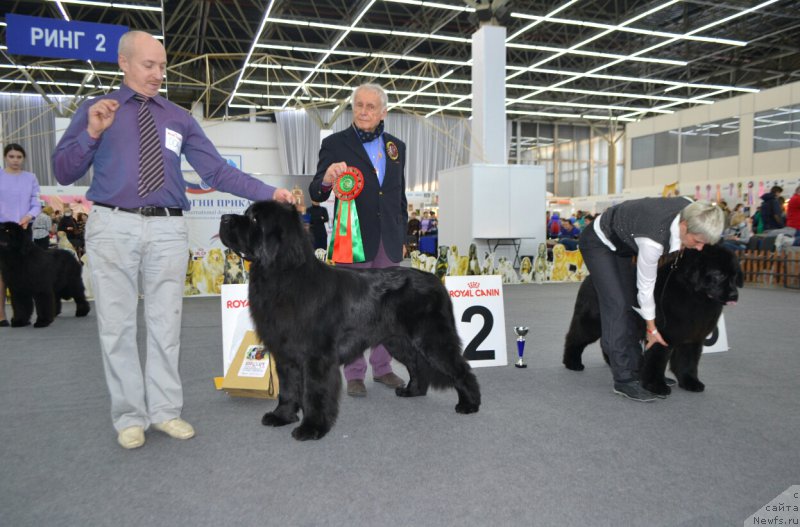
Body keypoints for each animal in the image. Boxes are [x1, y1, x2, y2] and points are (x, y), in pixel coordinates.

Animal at [219, 200, 478, 440]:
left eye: (254, 219)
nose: (223, 218)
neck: (283, 275)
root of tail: (437, 282)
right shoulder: (285, 353)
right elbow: (288, 388)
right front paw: (281, 416)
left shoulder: (316, 356)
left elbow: (314, 392)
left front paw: (311, 428)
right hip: (398, 340)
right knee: (417, 365)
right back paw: (412, 391)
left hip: (431, 338)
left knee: (460, 368)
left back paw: (470, 403)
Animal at [564, 245, 744, 398]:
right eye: (719, 274)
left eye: (735, 275)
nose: (734, 295)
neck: (692, 295)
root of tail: (588, 278)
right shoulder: (661, 336)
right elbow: (657, 362)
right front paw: (656, 386)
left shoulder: (692, 338)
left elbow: (688, 362)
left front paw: (690, 382)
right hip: (592, 322)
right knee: (575, 338)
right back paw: (572, 363)